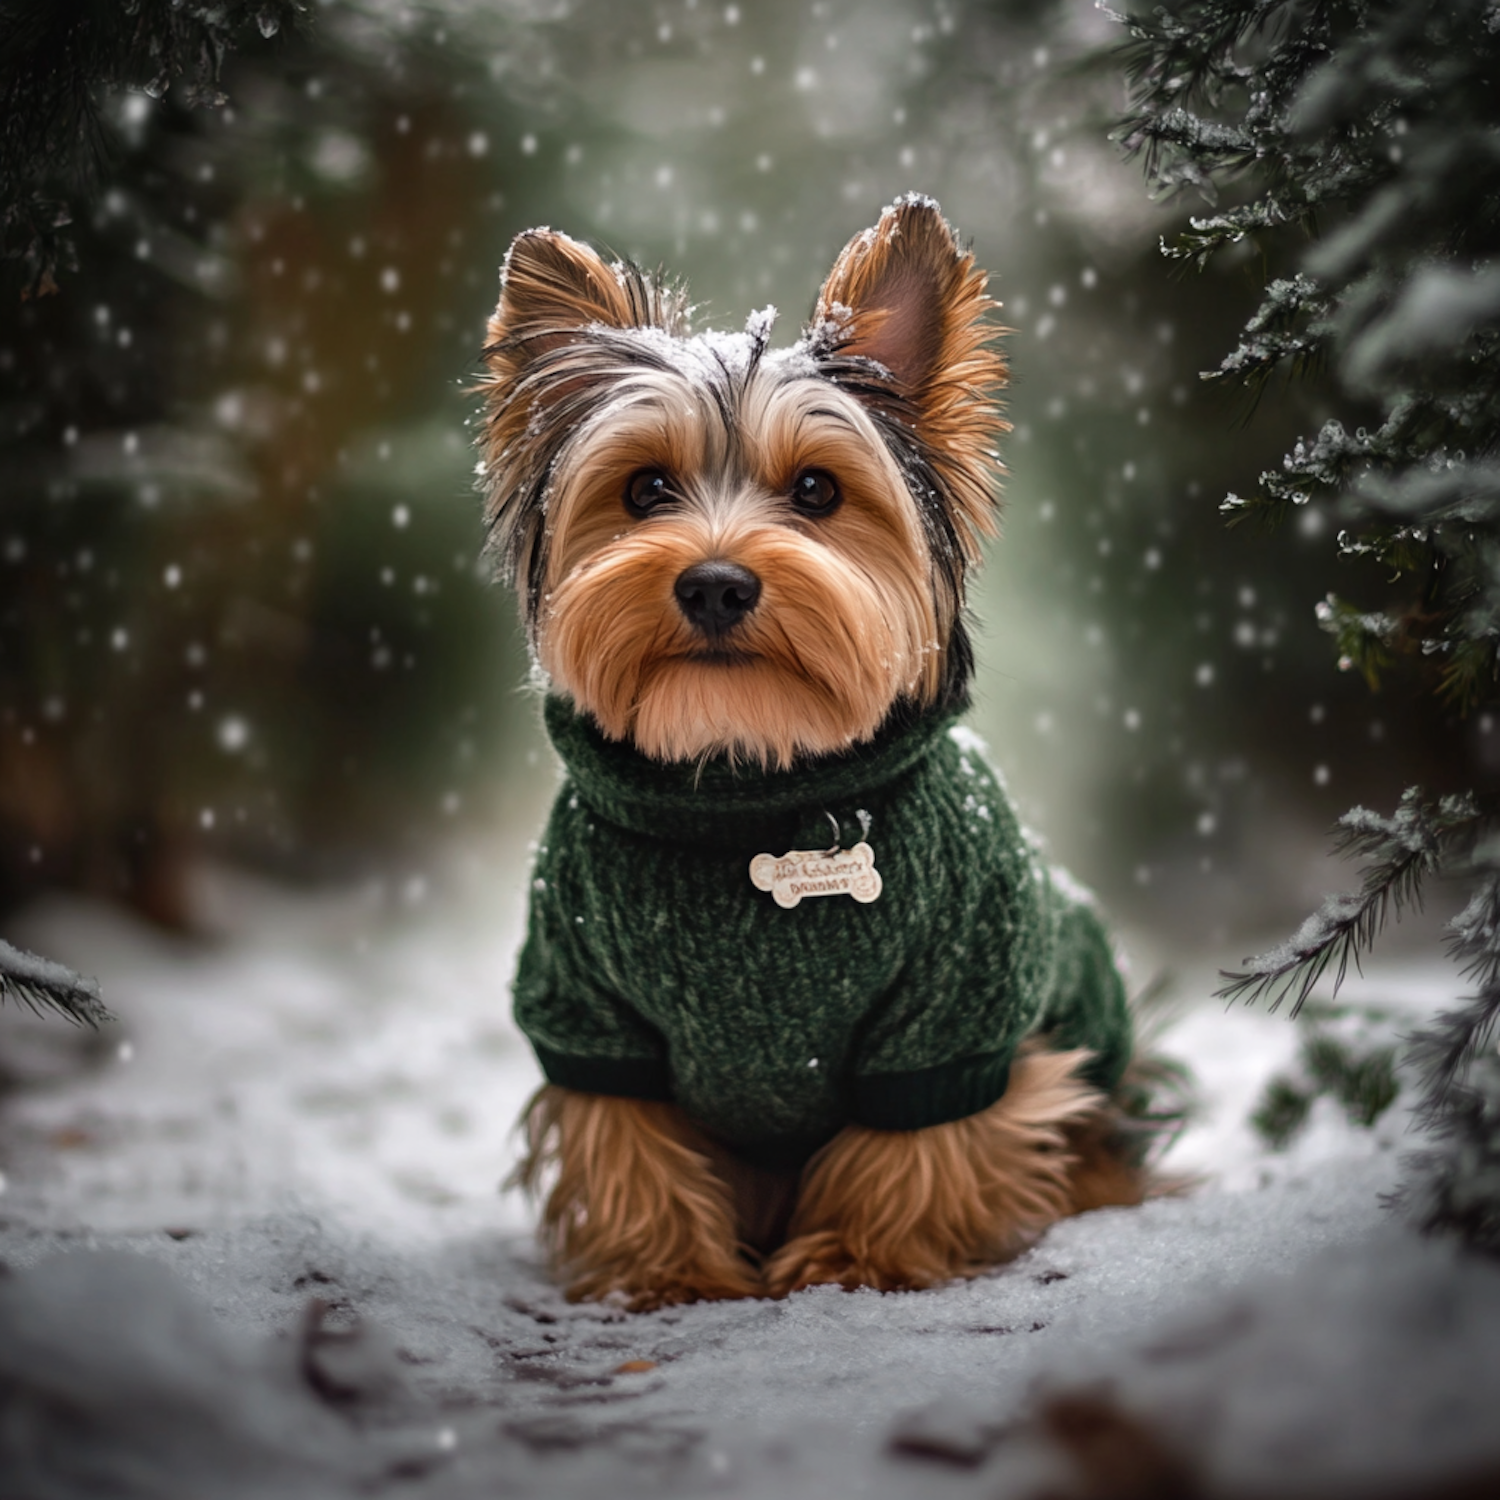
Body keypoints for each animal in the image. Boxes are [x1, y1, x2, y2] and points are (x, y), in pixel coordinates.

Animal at [474, 193, 1140, 1308]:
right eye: (645, 490)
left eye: (821, 492)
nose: (714, 583)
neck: (747, 776)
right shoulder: (585, 1006)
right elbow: (627, 1142)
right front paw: (667, 1273)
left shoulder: (956, 1008)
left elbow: (912, 1149)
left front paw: (857, 1262)